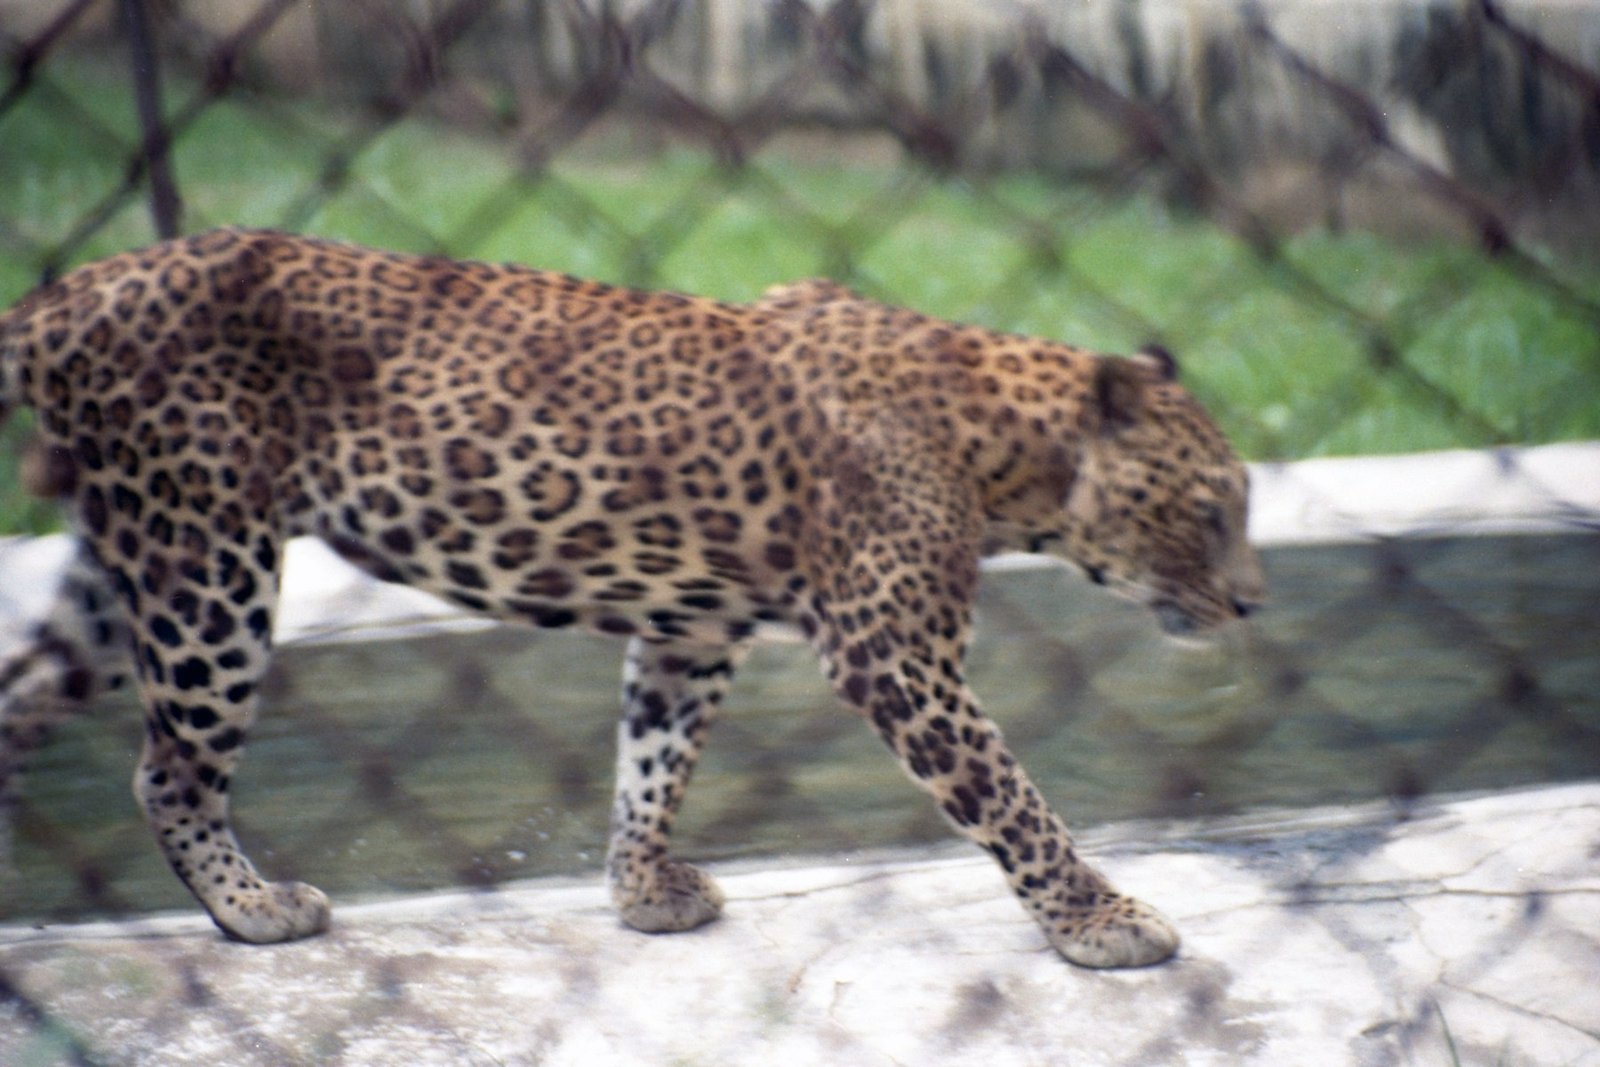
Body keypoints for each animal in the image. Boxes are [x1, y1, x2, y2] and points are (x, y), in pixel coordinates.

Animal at [0, 228, 1263, 968]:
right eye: (1209, 509)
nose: (1253, 605)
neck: (1007, 459)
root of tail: (75, 289)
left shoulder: (691, 629)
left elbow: (653, 757)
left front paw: (642, 886)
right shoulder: (894, 655)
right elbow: (1011, 798)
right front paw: (1099, 918)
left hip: (131, 558)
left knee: (26, 701)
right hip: (209, 560)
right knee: (168, 769)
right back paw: (252, 908)